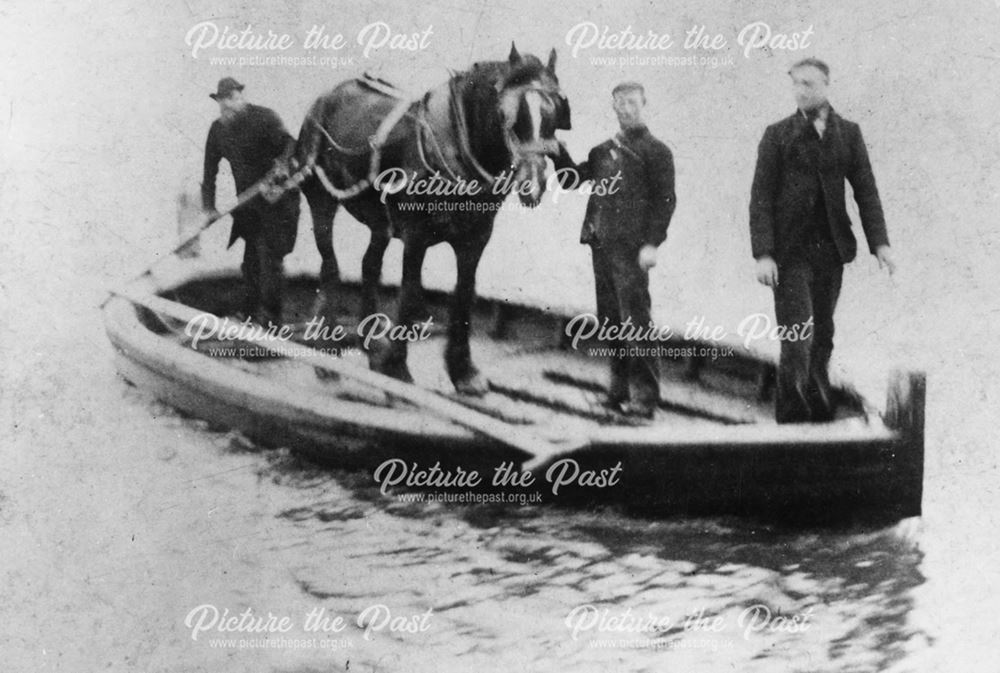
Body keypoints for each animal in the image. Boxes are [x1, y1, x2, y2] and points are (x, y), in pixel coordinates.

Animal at [292, 44, 572, 394]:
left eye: (554, 114)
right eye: (509, 116)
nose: (533, 183)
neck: (455, 146)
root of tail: (326, 97)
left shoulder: (476, 239)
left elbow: (464, 292)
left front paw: (463, 371)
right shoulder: (416, 236)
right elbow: (410, 293)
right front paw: (398, 367)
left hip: (380, 221)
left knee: (369, 266)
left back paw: (372, 347)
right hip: (322, 199)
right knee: (330, 266)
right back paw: (327, 353)